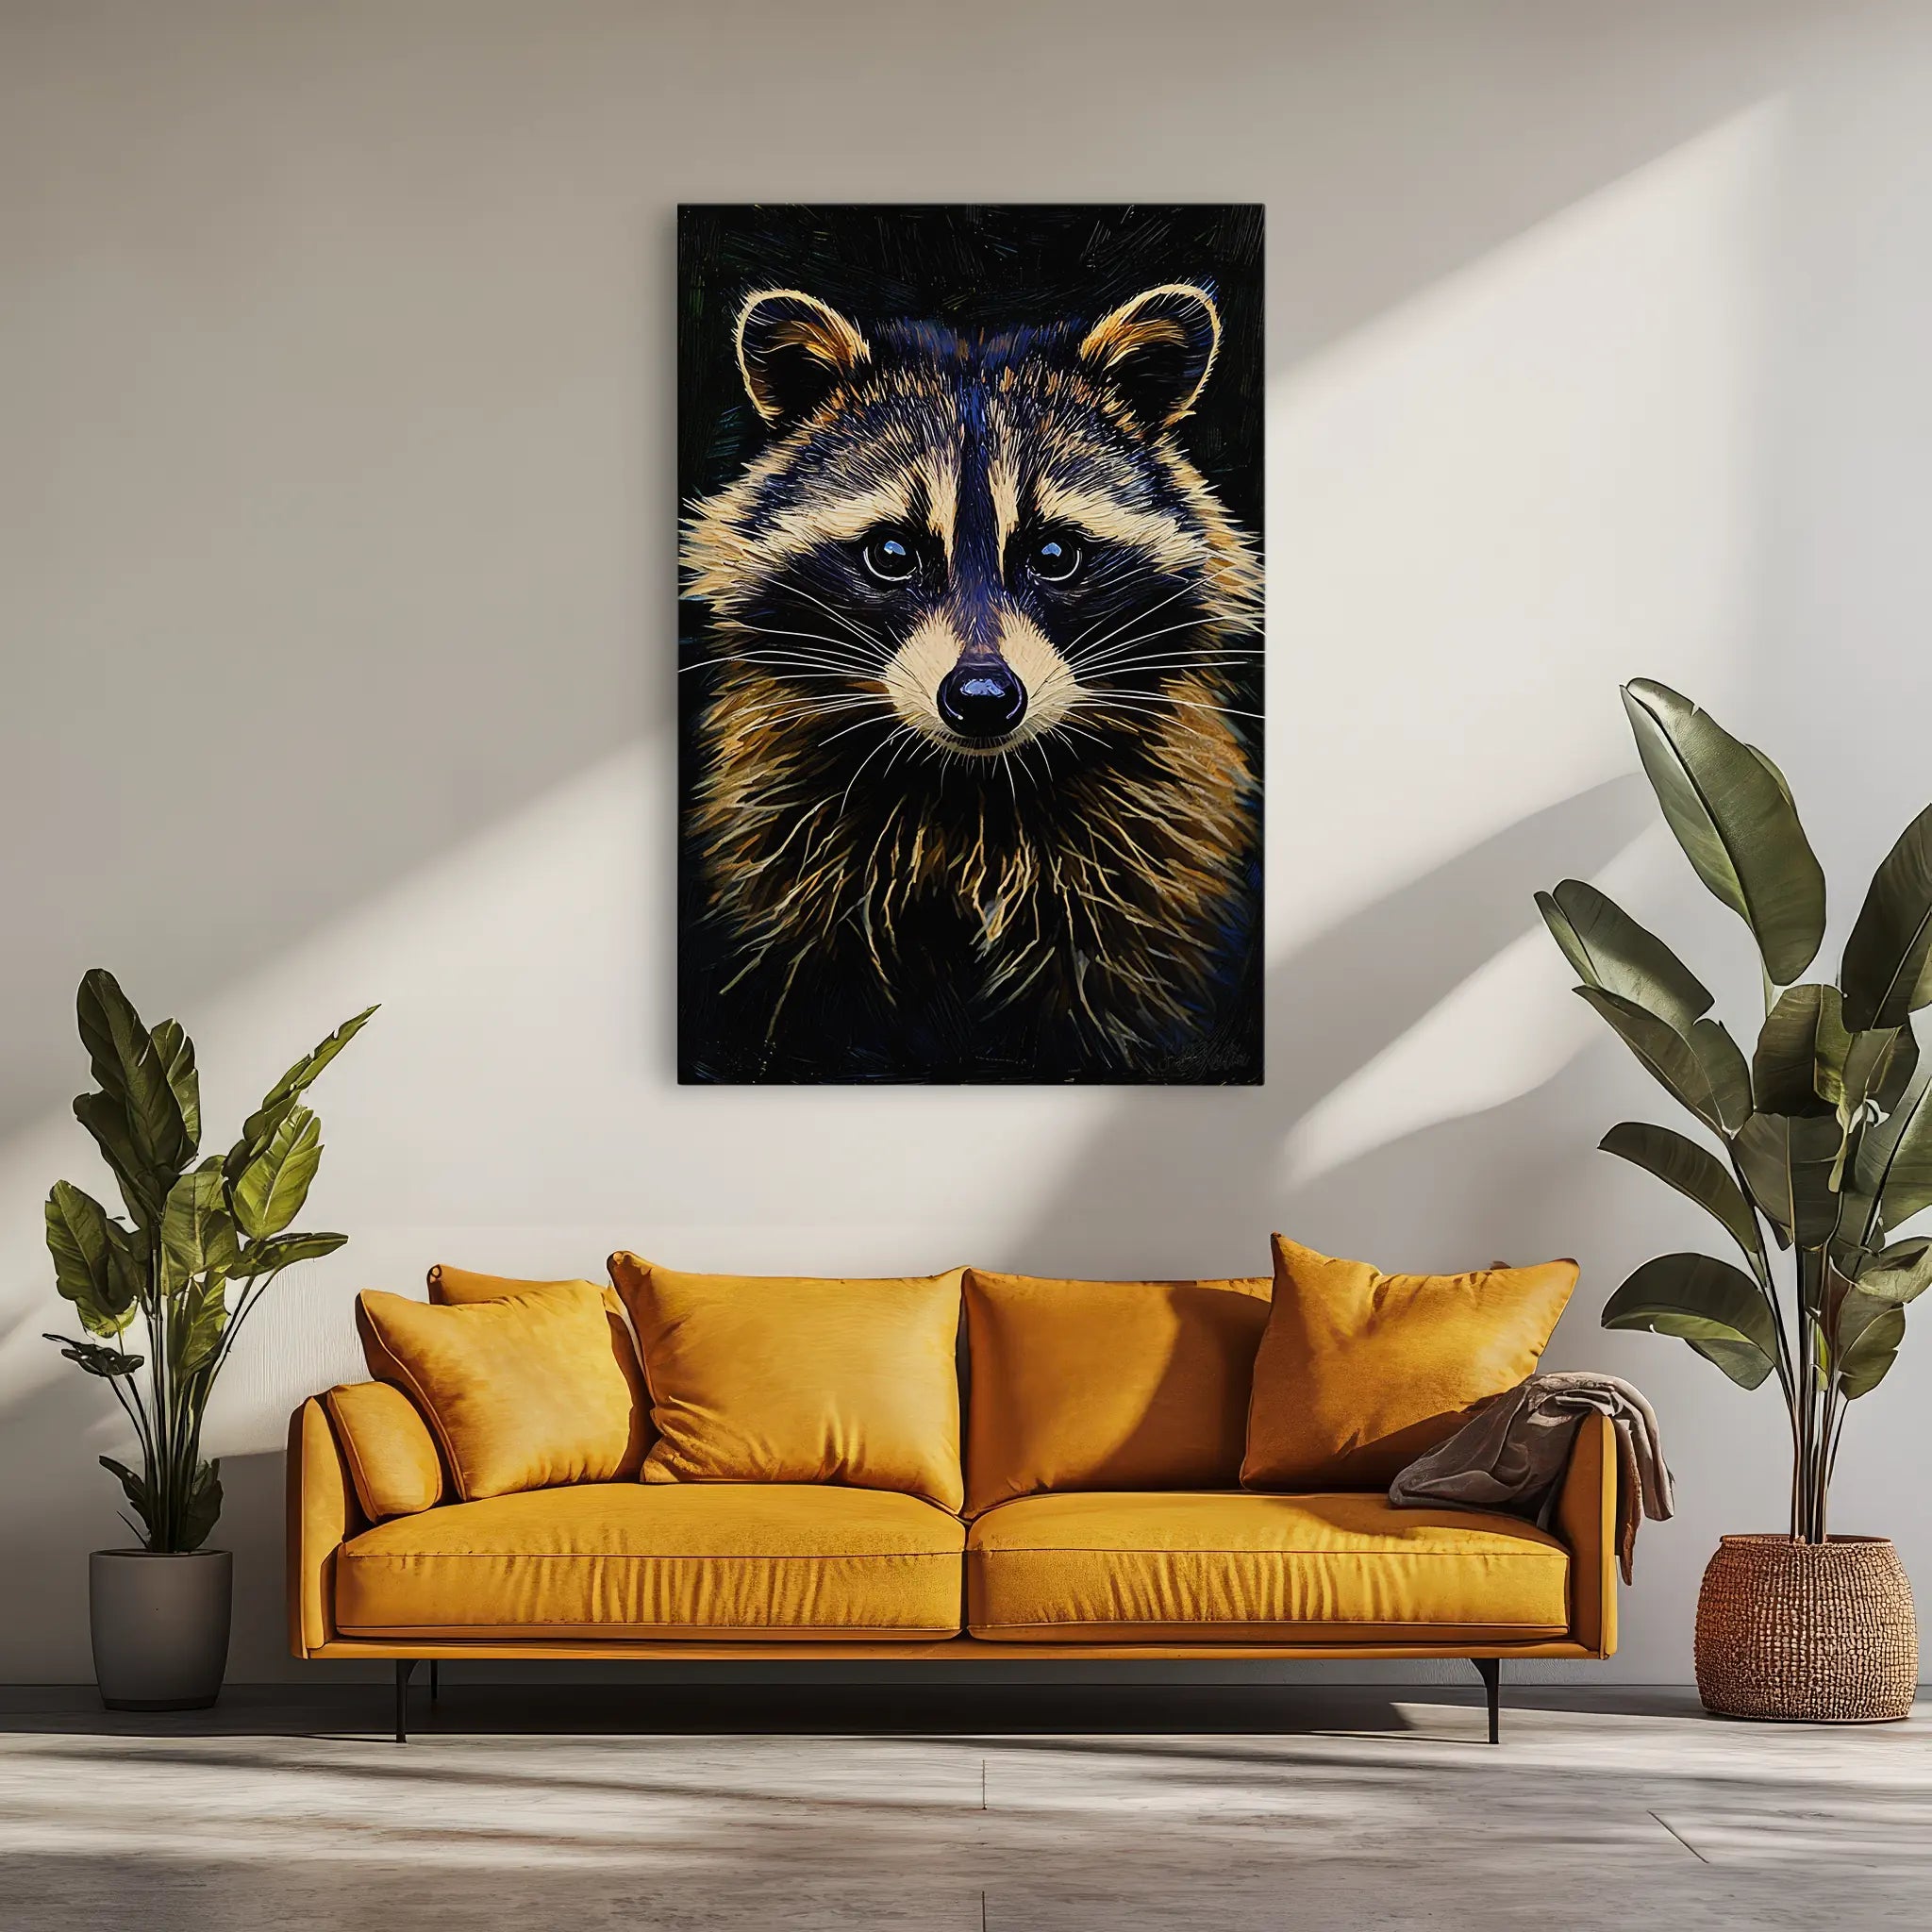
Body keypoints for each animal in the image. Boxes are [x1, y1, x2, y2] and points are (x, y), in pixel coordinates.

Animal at [680, 281, 1262, 1081]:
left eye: (1054, 553)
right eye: (892, 553)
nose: (982, 700)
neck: (972, 788)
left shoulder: (1147, 862)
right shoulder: (791, 856)